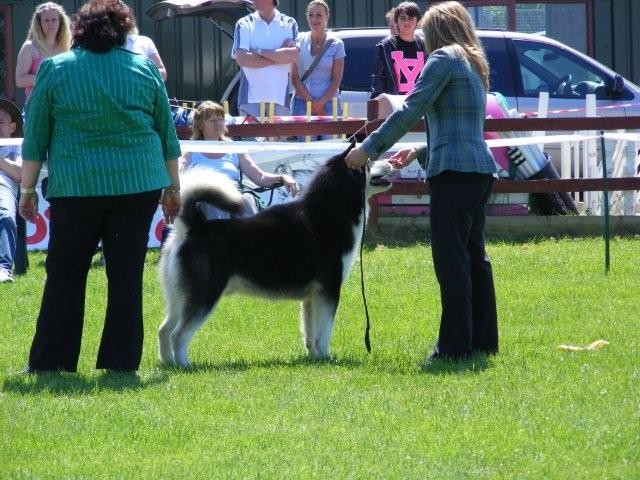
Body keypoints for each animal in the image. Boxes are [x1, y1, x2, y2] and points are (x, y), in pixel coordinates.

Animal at [158, 143, 392, 368]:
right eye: (369, 162)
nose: (391, 161)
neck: (332, 209)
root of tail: (194, 227)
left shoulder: (311, 297)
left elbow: (310, 333)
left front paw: (313, 357)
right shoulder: (329, 289)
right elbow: (324, 332)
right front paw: (327, 357)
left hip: (179, 298)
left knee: (163, 330)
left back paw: (168, 363)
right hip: (204, 296)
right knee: (178, 335)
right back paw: (184, 365)